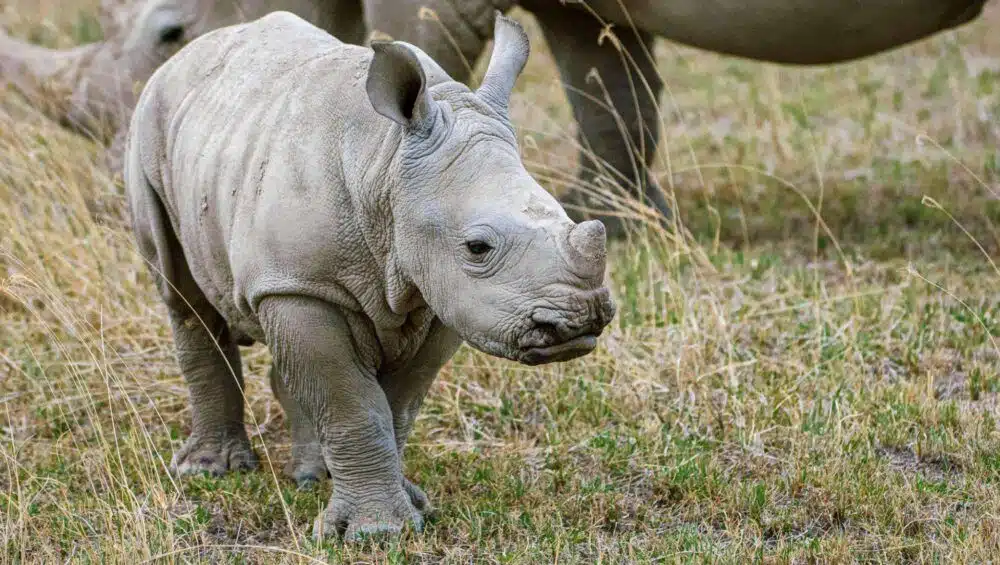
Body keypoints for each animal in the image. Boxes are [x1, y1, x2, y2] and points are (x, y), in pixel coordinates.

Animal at [122, 7, 612, 536]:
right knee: (183, 296)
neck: (386, 163)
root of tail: (191, 53)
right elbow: (350, 404)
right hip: (150, 123)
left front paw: (409, 509)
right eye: (478, 247)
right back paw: (209, 471)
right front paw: (377, 532)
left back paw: (312, 477)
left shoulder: (441, 292)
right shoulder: (302, 285)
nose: (580, 319)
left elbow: (395, 406)